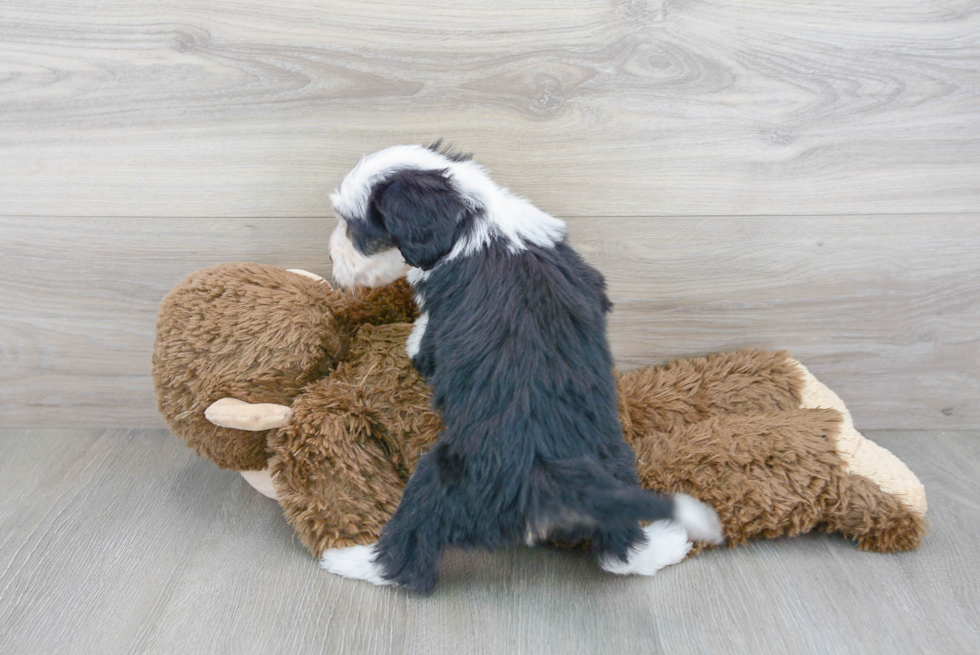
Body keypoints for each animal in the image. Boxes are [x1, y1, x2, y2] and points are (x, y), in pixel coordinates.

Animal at [322, 145, 720, 596]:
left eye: (356, 229)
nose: (331, 258)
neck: (475, 217)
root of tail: (556, 485)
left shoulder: (438, 326)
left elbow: (423, 338)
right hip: (618, 463)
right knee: (620, 552)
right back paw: (668, 542)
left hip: (442, 478)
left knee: (408, 555)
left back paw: (349, 559)